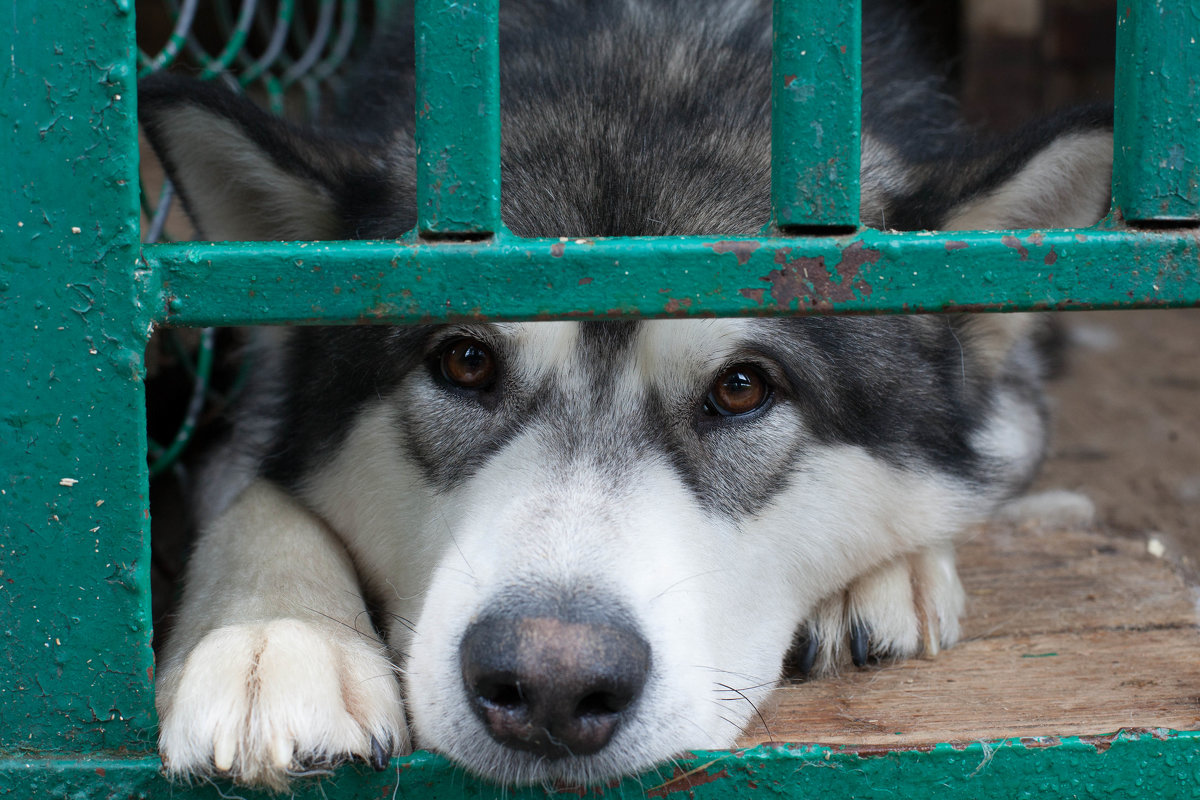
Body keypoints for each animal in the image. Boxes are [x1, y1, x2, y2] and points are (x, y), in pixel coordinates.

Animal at [136, 0, 1108, 786]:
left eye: (743, 387)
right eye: (465, 362)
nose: (551, 685)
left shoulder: (1015, 411)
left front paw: (888, 567)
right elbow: (251, 494)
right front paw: (274, 637)